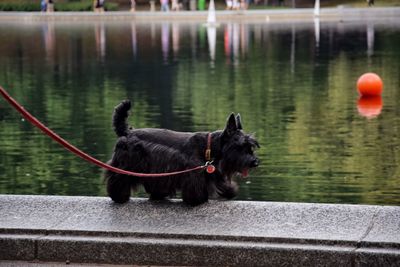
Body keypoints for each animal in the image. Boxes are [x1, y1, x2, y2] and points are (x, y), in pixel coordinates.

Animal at [104, 100, 260, 207]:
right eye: (240, 146)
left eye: (251, 147)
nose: (255, 162)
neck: (209, 147)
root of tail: (127, 132)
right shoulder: (194, 173)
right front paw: (197, 200)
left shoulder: (212, 171)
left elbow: (220, 183)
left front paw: (230, 191)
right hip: (124, 165)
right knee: (118, 179)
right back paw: (119, 196)